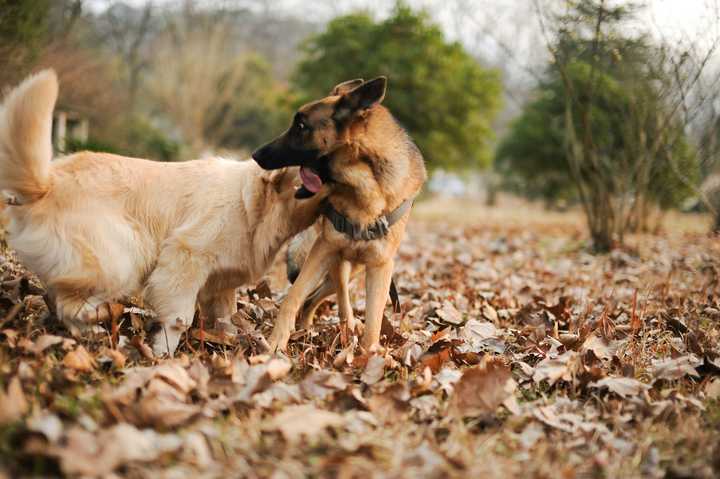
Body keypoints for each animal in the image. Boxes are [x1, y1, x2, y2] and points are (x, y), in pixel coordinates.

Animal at [0, 69, 324, 354]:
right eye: (307, 174)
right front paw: (163, 351)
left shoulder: (220, 284)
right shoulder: (185, 257)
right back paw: (100, 320)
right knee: (71, 303)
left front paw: (231, 339)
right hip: (124, 252)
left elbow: (224, 315)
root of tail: (47, 183)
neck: (252, 205)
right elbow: (180, 316)